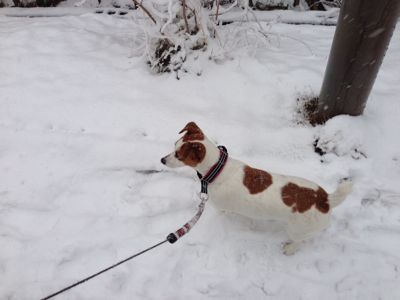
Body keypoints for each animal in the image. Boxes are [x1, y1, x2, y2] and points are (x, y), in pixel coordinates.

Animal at [161, 122, 352, 255]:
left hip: (297, 229)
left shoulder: (221, 208)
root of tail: (324, 199)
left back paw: (290, 248)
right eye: (174, 144)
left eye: (179, 155)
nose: (162, 160)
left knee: (300, 241)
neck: (217, 168)